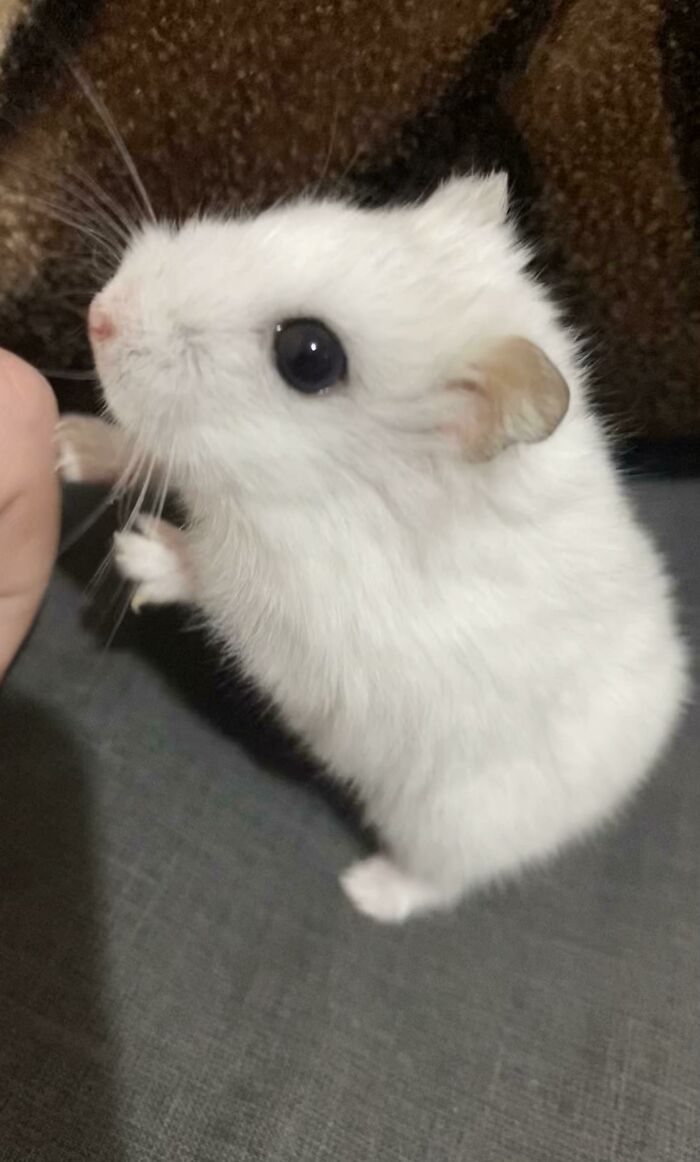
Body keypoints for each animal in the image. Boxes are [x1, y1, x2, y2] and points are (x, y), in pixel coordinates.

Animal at [58, 175, 689, 922]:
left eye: (309, 355)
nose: (98, 314)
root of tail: (644, 754)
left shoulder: (293, 616)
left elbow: (208, 574)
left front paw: (140, 554)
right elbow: (149, 451)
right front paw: (68, 443)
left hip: (451, 823)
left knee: (445, 880)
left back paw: (366, 889)